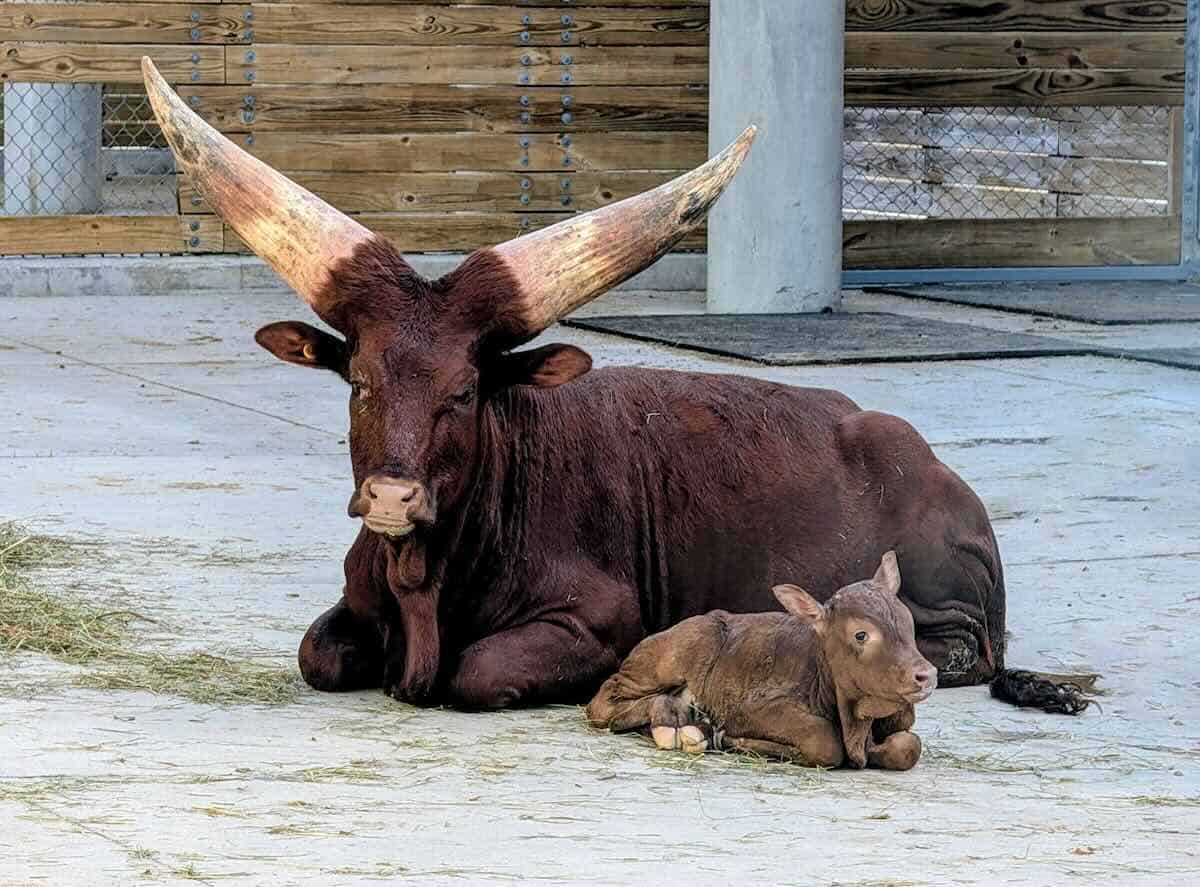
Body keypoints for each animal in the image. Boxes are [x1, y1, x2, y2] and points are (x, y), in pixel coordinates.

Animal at [142, 59, 1089, 716]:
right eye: (360, 383)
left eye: (464, 391)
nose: (390, 497)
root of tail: (932, 465)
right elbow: (319, 652)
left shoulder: (595, 618)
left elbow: (477, 669)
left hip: (941, 605)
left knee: (963, 653)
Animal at [586, 553, 935, 770]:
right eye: (861, 635)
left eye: (908, 623)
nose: (926, 675)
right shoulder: (749, 708)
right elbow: (823, 740)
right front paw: (730, 739)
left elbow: (909, 746)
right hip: (670, 656)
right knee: (602, 702)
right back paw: (672, 720)